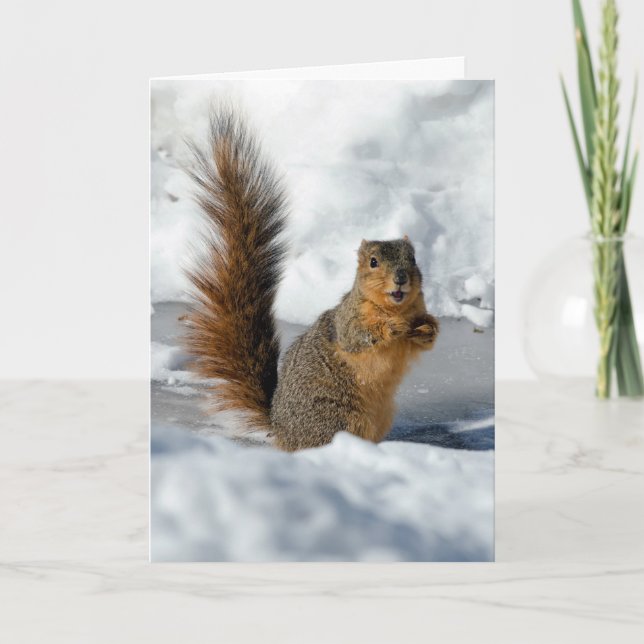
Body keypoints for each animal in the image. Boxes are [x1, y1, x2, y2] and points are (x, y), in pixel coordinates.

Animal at [184, 110, 439, 451]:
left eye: (412, 259)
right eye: (373, 262)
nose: (400, 279)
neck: (395, 307)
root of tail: (280, 428)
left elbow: (421, 343)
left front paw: (429, 327)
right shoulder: (348, 320)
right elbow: (356, 336)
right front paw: (392, 327)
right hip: (334, 417)